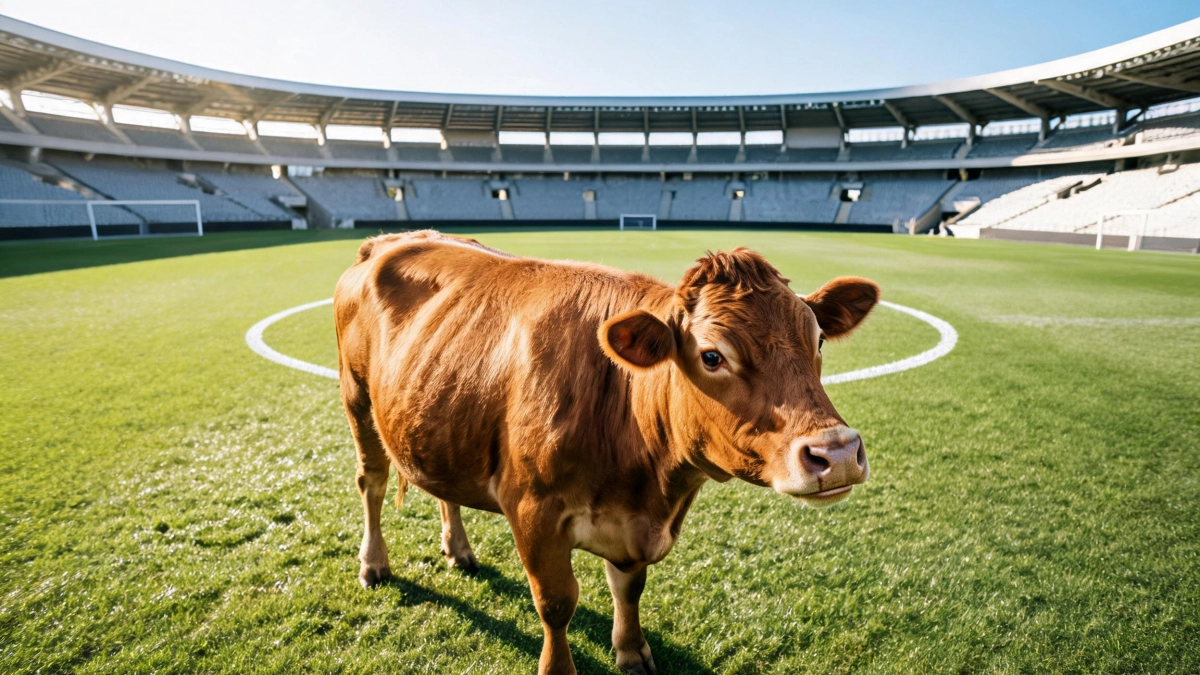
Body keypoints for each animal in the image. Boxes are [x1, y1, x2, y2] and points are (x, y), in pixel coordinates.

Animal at [333, 230, 878, 675]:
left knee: (444, 488)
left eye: (819, 339)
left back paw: (459, 549)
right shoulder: (531, 509)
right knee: (371, 482)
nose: (837, 453)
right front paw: (559, 668)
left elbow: (628, 588)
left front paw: (632, 650)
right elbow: (556, 603)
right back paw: (374, 564)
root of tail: (388, 241)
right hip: (356, 397)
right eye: (711, 356)